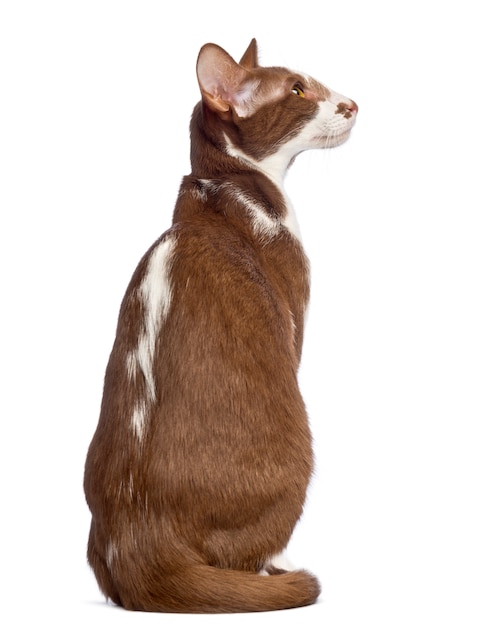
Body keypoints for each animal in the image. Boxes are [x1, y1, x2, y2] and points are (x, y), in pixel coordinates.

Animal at [84, 37, 358, 608]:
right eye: (298, 91)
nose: (352, 104)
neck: (220, 191)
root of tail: (140, 542)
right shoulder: (293, 315)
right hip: (296, 455)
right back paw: (277, 565)